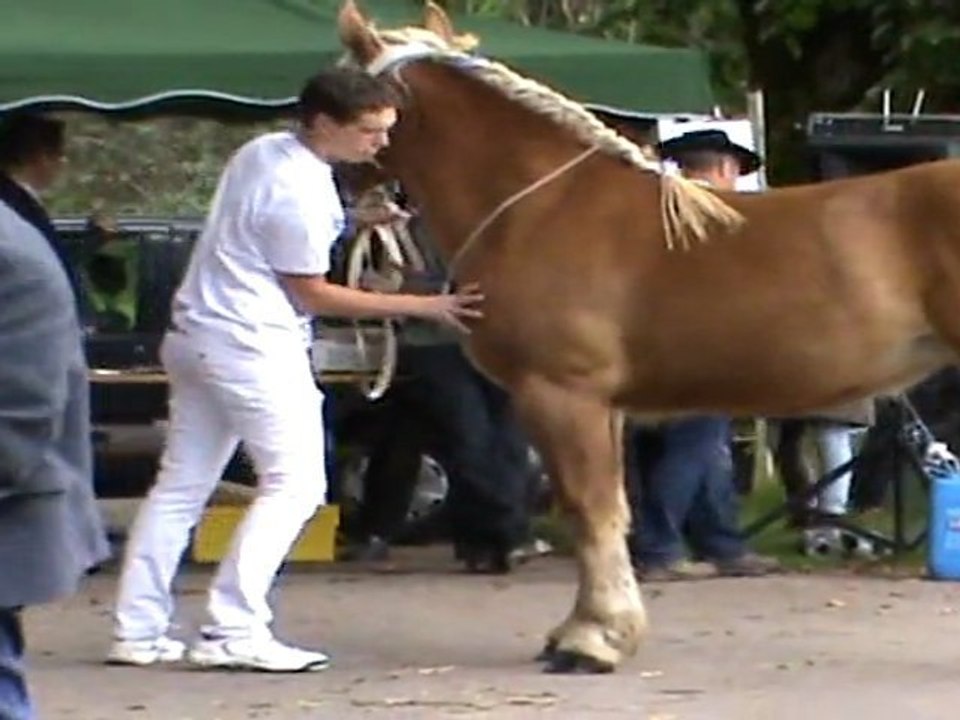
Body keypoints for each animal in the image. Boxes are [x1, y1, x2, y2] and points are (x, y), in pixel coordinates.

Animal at [337, 0, 960, 673]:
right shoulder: (600, 407)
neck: (541, 209)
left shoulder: (562, 396)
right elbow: (613, 509)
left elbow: (591, 510)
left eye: (333, 84)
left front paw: (591, 640)